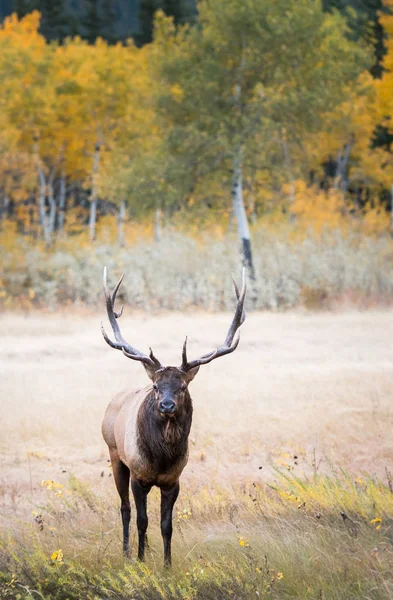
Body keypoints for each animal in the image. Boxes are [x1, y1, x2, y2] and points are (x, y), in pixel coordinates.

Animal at [101, 268, 245, 568]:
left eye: (183, 387)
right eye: (156, 386)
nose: (167, 405)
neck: (161, 458)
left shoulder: (173, 481)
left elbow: (166, 525)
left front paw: (167, 565)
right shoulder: (138, 475)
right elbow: (142, 520)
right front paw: (141, 561)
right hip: (114, 454)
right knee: (124, 508)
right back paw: (127, 552)